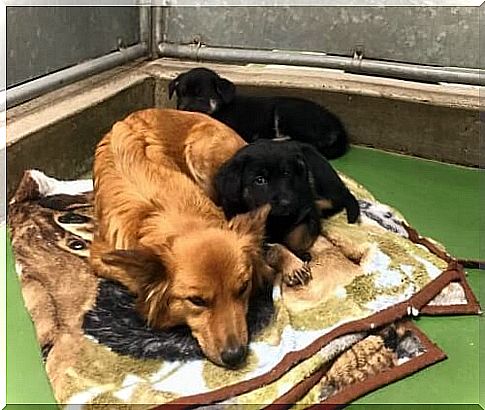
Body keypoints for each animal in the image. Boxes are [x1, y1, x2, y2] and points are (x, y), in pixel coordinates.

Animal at [168, 67, 350, 159]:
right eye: (181, 94)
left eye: (200, 96)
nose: (182, 109)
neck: (219, 108)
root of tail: (338, 127)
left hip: (288, 113)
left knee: (307, 142)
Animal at [213, 139, 360, 284]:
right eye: (260, 180)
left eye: (286, 174)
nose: (286, 204)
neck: (275, 220)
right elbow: (275, 248)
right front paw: (293, 265)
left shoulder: (306, 211)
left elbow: (297, 237)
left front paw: (299, 257)